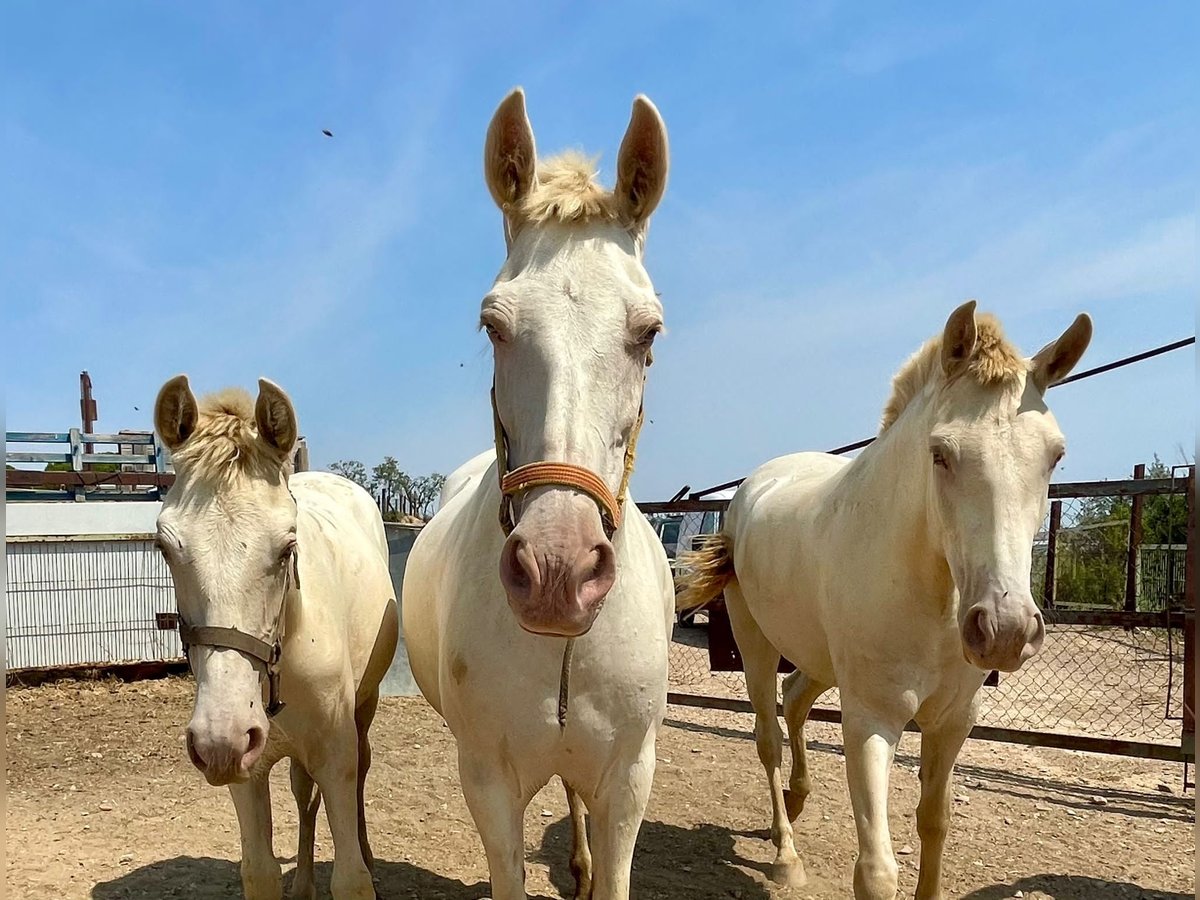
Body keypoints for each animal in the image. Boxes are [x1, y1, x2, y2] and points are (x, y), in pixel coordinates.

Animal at [152, 374, 398, 900]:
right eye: (164, 547)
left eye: (288, 547)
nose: (220, 738)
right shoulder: (247, 771)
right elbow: (260, 870)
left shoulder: (336, 757)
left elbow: (351, 877)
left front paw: (361, 866)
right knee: (303, 795)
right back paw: (303, 881)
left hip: (364, 709)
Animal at [681, 304, 1094, 900]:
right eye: (940, 454)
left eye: (1055, 456)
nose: (1005, 630)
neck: (929, 599)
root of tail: (751, 489)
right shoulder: (871, 720)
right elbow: (876, 870)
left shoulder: (953, 722)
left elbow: (934, 822)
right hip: (754, 643)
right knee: (768, 737)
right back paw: (786, 853)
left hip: (821, 659)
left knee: (795, 699)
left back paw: (797, 800)